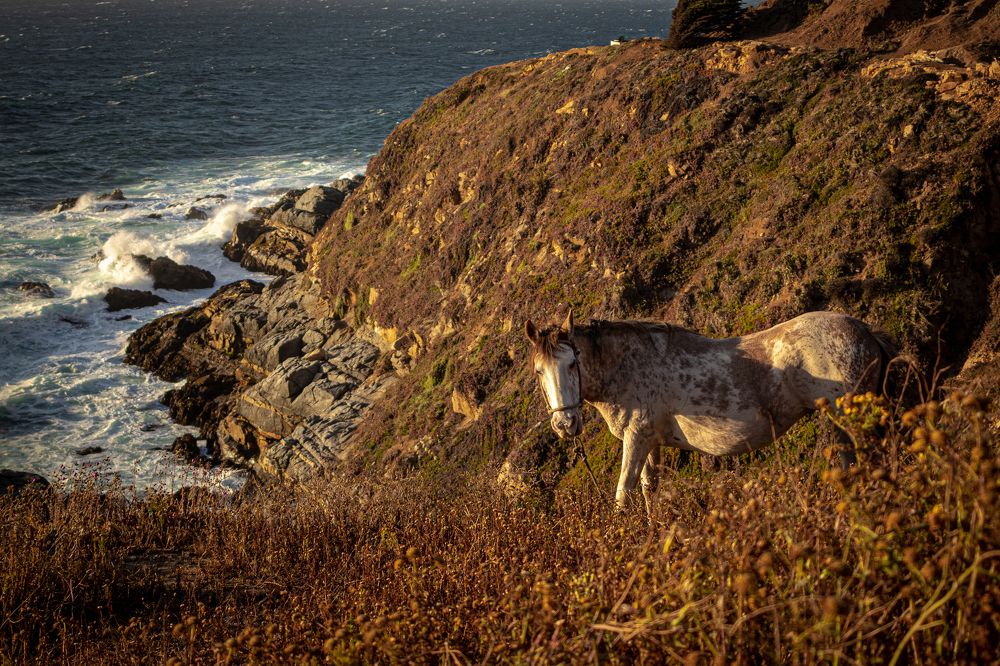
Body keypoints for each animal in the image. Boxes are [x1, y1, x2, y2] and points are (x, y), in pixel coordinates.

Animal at [525, 311, 895, 512]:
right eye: (539, 371)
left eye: (572, 363)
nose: (565, 424)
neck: (628, 366)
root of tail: (864, 332)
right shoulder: (651, 442)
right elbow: (649, 489)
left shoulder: (636, 437)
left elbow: (623, 493)